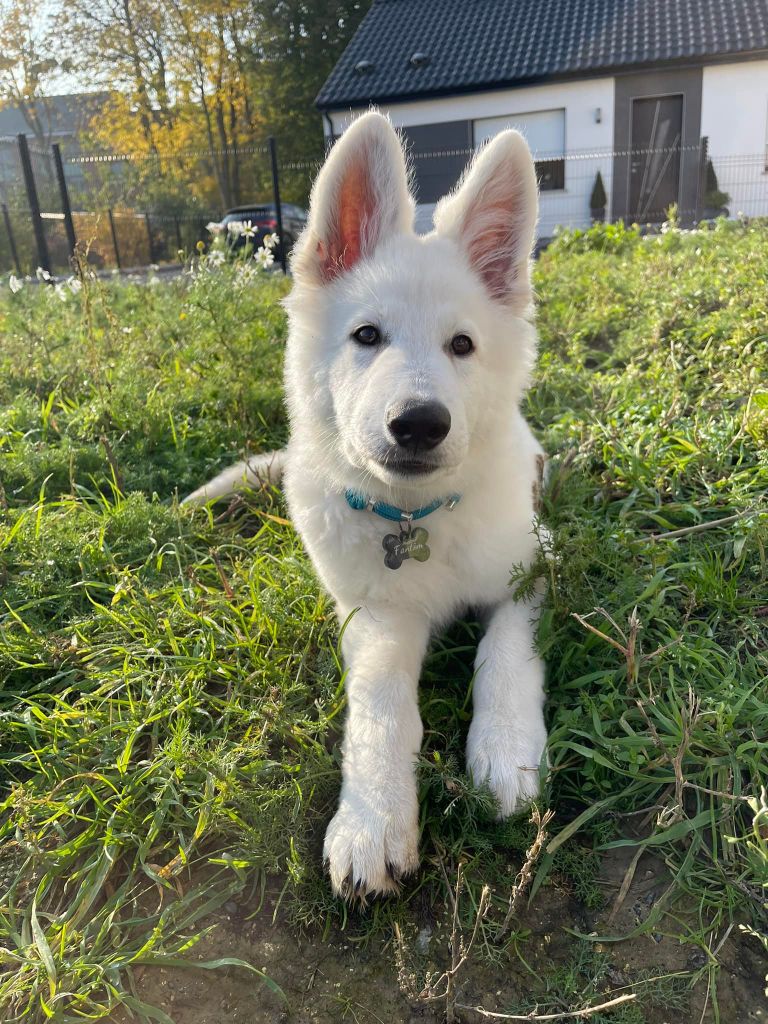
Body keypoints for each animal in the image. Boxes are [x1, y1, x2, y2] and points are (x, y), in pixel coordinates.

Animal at [185, 110, 548, 897]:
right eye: (367, 336)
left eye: (462, 345)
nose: (418, 423)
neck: (417, 517)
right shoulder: (375, 616)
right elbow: (379, 706)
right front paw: (372, 817)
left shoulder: (533, 572)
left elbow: (503, 651)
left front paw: (505, 746)